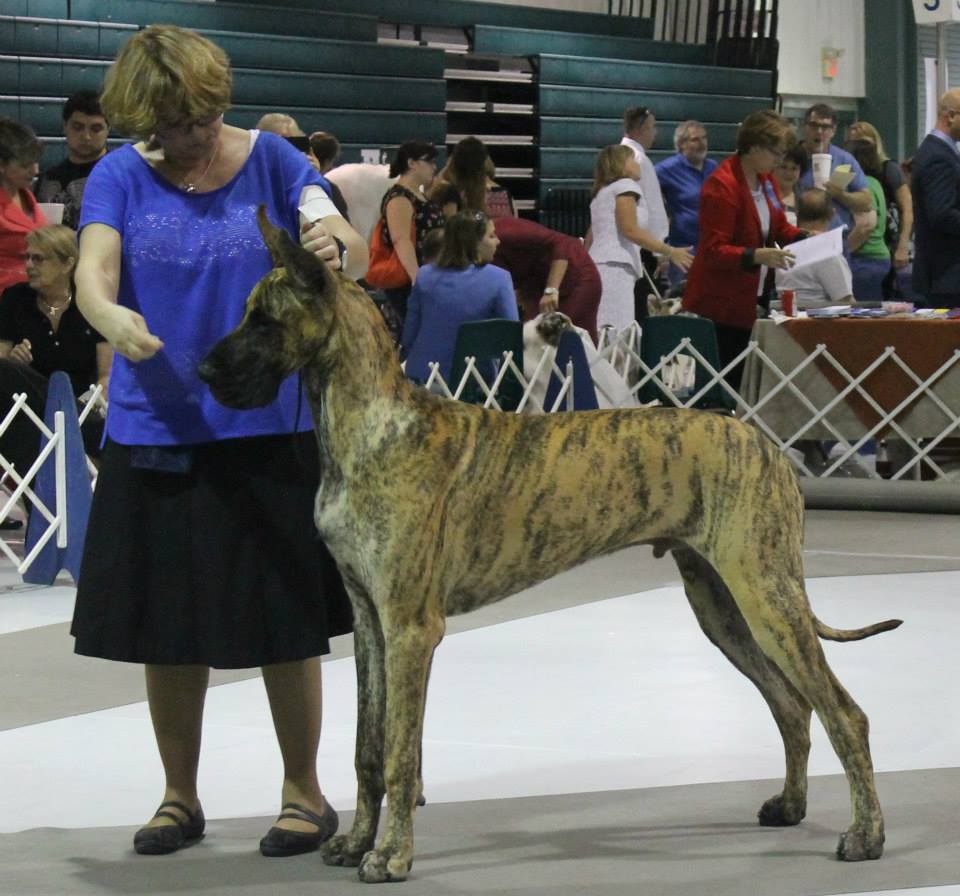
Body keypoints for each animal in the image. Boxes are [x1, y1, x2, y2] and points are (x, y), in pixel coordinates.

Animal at [201, 208, 900, 880]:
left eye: (263, 320)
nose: (202, 370)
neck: (370, 424)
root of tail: (768, 445)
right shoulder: (370, 623)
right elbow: (366, 748)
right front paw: (355, 842)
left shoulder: (410, 627)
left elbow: (401, 752)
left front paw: (392, 855)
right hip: (723, 607)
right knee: (792, 706)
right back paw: (791, 804)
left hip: (765, 594)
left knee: (845, 714)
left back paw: (866, 835)